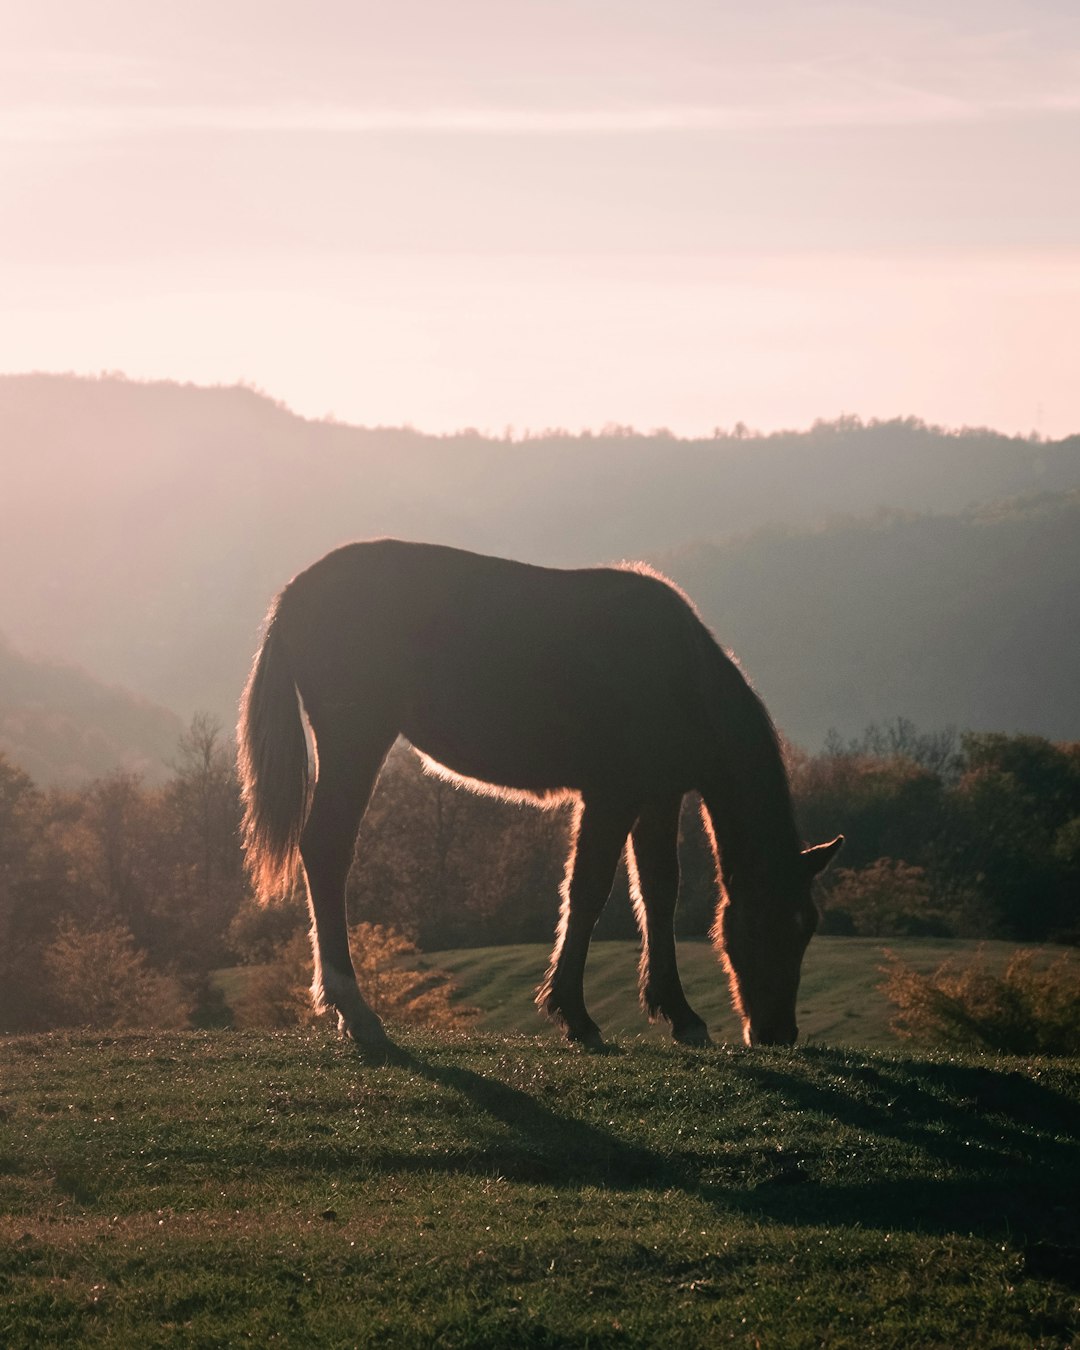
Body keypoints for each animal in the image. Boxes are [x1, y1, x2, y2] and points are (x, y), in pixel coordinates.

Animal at [238, 537, 842, 1053]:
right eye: (767, 923)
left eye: (808, 927)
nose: (777, 1034)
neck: (676, 672)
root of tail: (294, 594)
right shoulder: (611, 795)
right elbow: (588, 891)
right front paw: (575, 1015)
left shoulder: (658, 796)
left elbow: (657, 891)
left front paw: (679, 1013)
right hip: (356, 740)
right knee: (327, 849)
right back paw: (355, 1010)